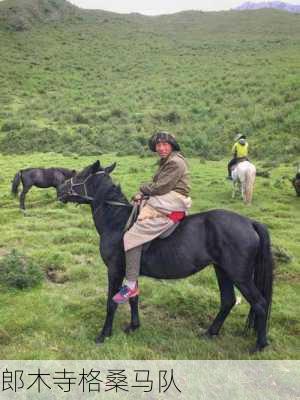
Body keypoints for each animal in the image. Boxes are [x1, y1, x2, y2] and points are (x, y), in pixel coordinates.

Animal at [58, 161, 274, 352]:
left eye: (80, 175)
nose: (59, 190)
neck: (117, 222)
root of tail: (250, 223)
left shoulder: (115, 270)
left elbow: (112, 302)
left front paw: (104, 334)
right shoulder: (131, 270)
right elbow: (133, 297)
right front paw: (134, 326)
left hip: (240, 276)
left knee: (260, 304)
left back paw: (259, 345)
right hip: (222, 271)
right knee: (228, 301)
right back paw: (210, 333)